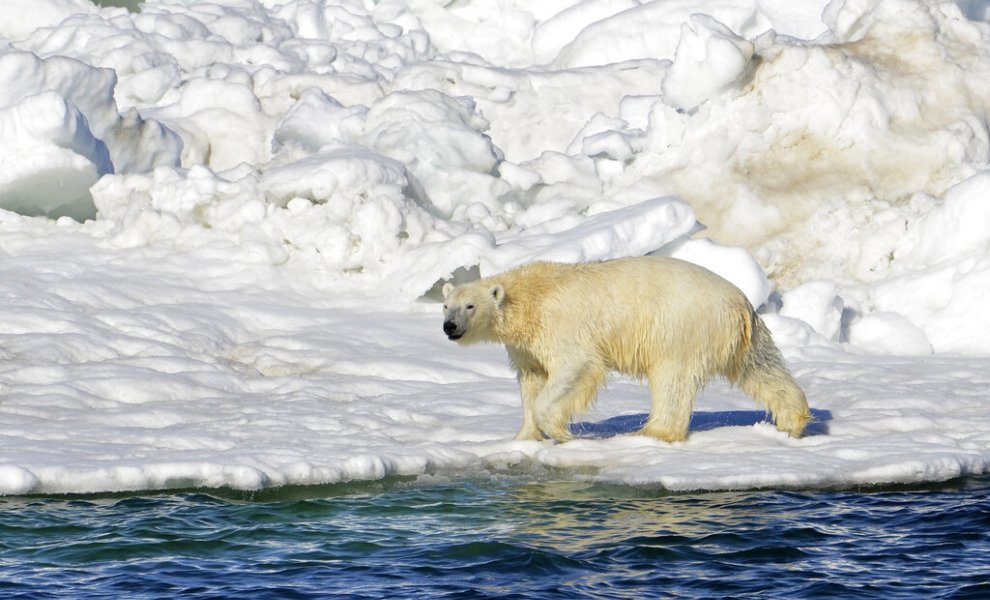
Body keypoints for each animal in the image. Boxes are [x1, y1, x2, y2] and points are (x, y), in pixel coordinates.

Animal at [446, 255, 808, 442]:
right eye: (447, 305)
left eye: (469, 306)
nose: (449, 327)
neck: (530, 297)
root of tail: (738, 302)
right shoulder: (526, 346)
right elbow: (532, 379)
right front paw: (524, 437)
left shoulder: (561, 326)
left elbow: (575, 367)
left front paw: (561, 433)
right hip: (742, 336)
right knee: (761, 368)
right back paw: (793, 420)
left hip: (681, 327)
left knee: (672, 379)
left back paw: (653, 432)